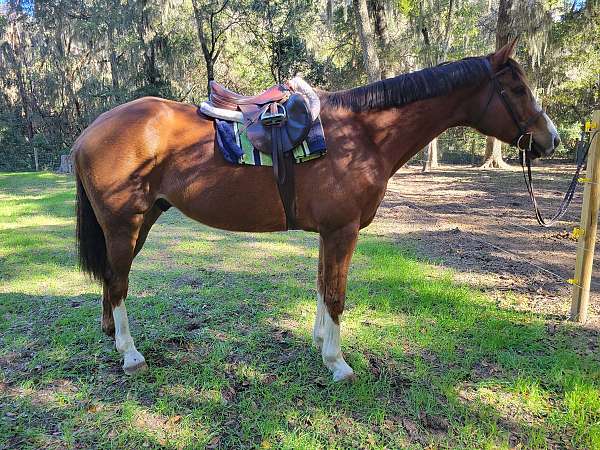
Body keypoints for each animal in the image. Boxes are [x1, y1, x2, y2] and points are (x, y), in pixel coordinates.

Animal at [72, 40, 560, 382]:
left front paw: (320, 342)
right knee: (118, 282)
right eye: (517, 88)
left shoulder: (331, 232)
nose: (551, 139)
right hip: (125, 224)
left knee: (113, 279)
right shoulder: (343, 230)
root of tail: (89, 132)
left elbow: (324, 287)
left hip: (143, 220)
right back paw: (131, 354)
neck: (363, 134)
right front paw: (337, 362)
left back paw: (112, 337)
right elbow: (337, 294)